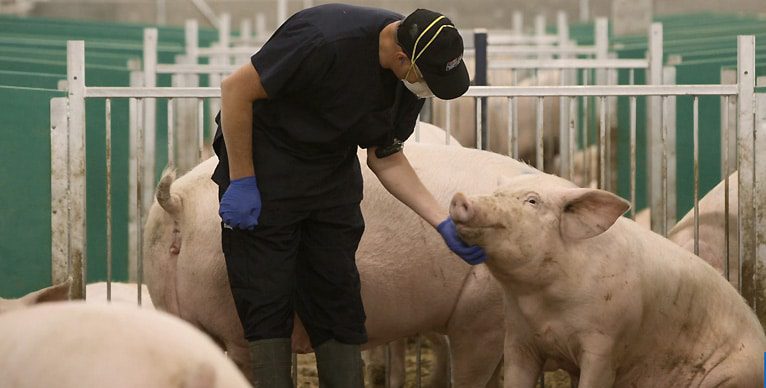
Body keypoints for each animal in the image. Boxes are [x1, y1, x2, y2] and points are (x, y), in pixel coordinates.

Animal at [450, 174, 766, 388]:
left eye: (532, 201)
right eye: (496, 193)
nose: (460, 198)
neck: (543, 305)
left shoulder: (605, 343)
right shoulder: (519, 339)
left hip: (733, 376)